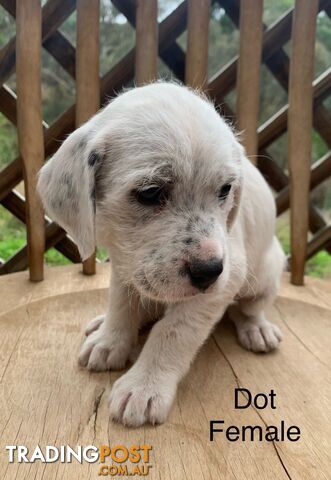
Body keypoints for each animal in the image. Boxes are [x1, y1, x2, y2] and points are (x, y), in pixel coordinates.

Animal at [37, 82, 284, 428]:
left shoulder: (226, 276)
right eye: (151, 192)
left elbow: (173, 331)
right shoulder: (126, 264)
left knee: (248, 308)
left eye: (225, 190)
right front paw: (110, 341)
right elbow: (122, 304)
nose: (209, 271)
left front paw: (144, 386)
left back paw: (257, 328)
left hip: (266, 274)